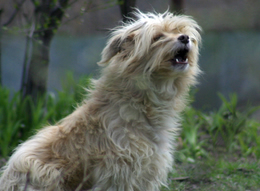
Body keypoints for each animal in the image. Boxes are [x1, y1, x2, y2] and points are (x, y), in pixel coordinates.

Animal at [0, 10, 201, 191]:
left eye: (179, 30)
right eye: (158, 37)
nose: (185, 38)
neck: (142, 103)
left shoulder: (145, 171)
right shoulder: (119, 174)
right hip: (44, 172)